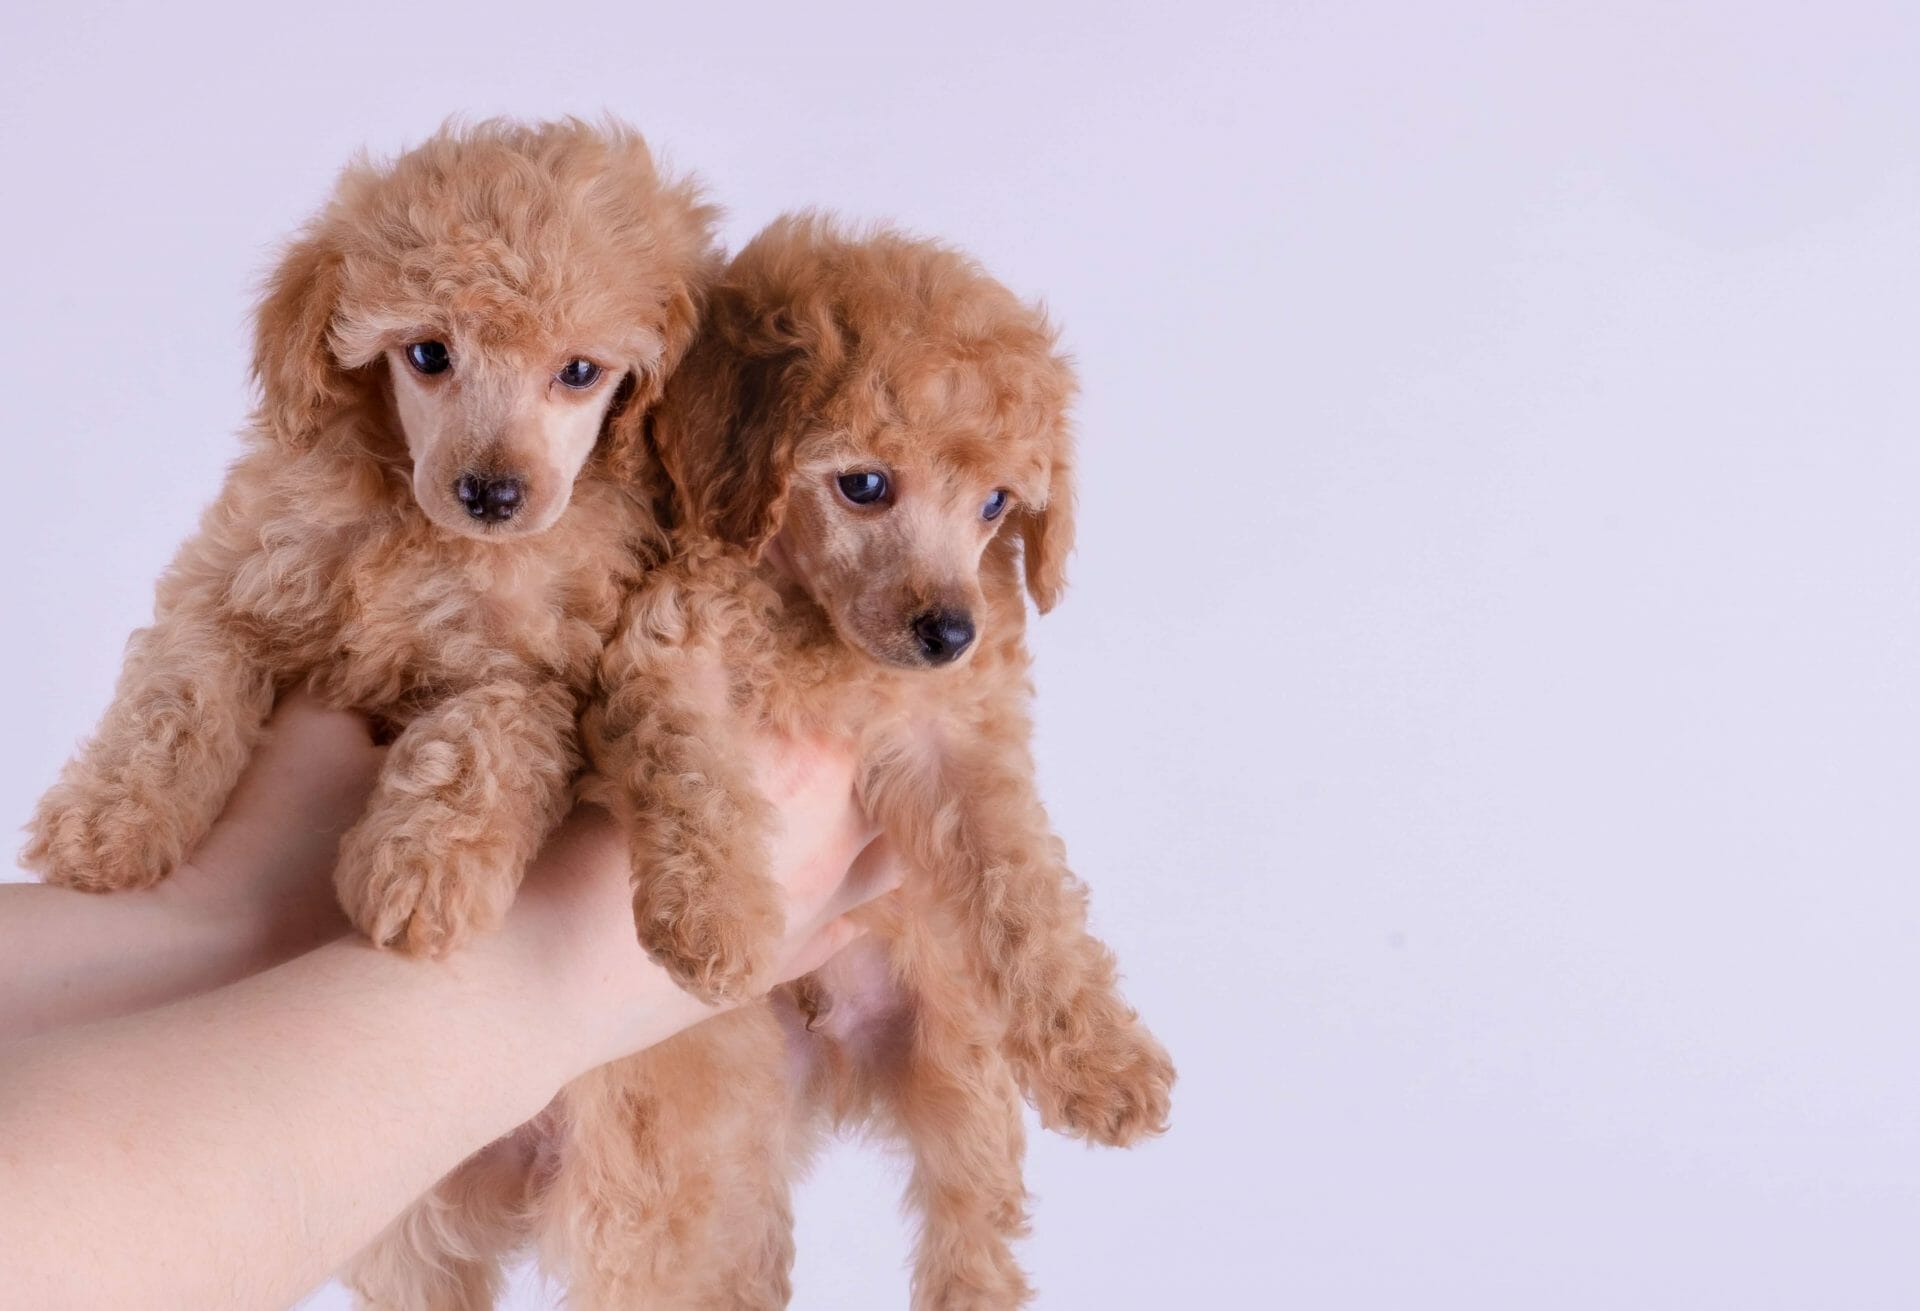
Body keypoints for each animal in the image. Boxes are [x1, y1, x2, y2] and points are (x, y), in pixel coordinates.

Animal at [26, 120, 718, 963]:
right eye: (427, 355)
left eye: (580, 371)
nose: (490, 493)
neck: (423, 529)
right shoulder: (232, 581)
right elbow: (173, 701)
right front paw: (105, 821)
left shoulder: (540, 672)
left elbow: (476, 745)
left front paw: (421, 875)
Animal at [549, 217, 1175, 1311]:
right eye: (866, 486)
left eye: (996, 504)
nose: (952, 631)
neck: (815, 627)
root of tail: (831, 1063)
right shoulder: (663, 653)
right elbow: (692, 771)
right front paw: (717, 919)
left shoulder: (958, 745)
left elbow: (1024, 891)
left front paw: (1105, 1059)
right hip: (710, 1127)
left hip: (958, 1058)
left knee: (974, 1228)